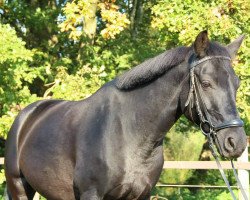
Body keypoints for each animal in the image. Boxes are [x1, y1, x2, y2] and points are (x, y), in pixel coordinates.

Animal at [4, 30, 247, 199]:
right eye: (206, 83)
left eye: (236, 84)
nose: (236, 142)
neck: (128, 134)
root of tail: (26, 117)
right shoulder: (91, 194)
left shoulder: (142, 194)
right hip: (18, 187)